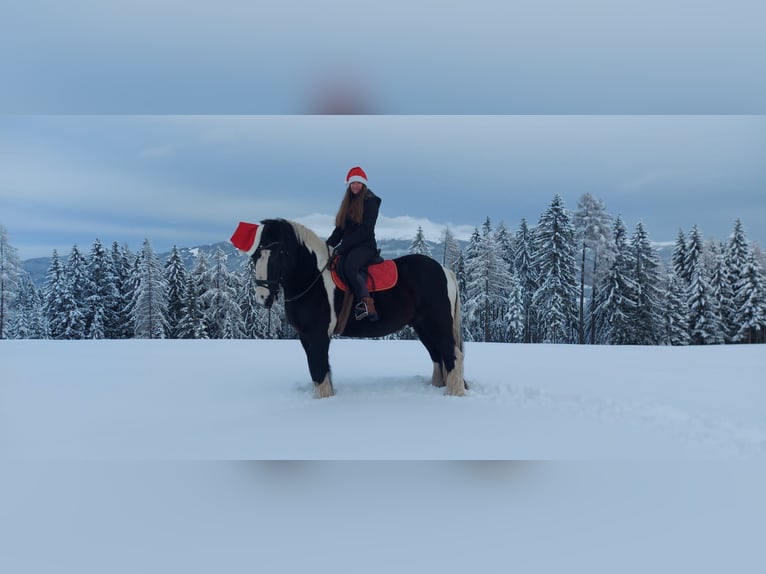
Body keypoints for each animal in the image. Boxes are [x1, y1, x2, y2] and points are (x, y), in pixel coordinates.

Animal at [231, 218, 466, 398]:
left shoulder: (317, 334)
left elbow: (319, 368)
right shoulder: (305, 336)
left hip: (437, 325)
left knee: (453, 355)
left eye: (281, 253)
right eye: (255, 256)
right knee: (439, 357)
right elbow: (319, 370)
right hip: (423, 327)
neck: (313, 278)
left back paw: (452, 395)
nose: (263, 297)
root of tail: (444, 271)